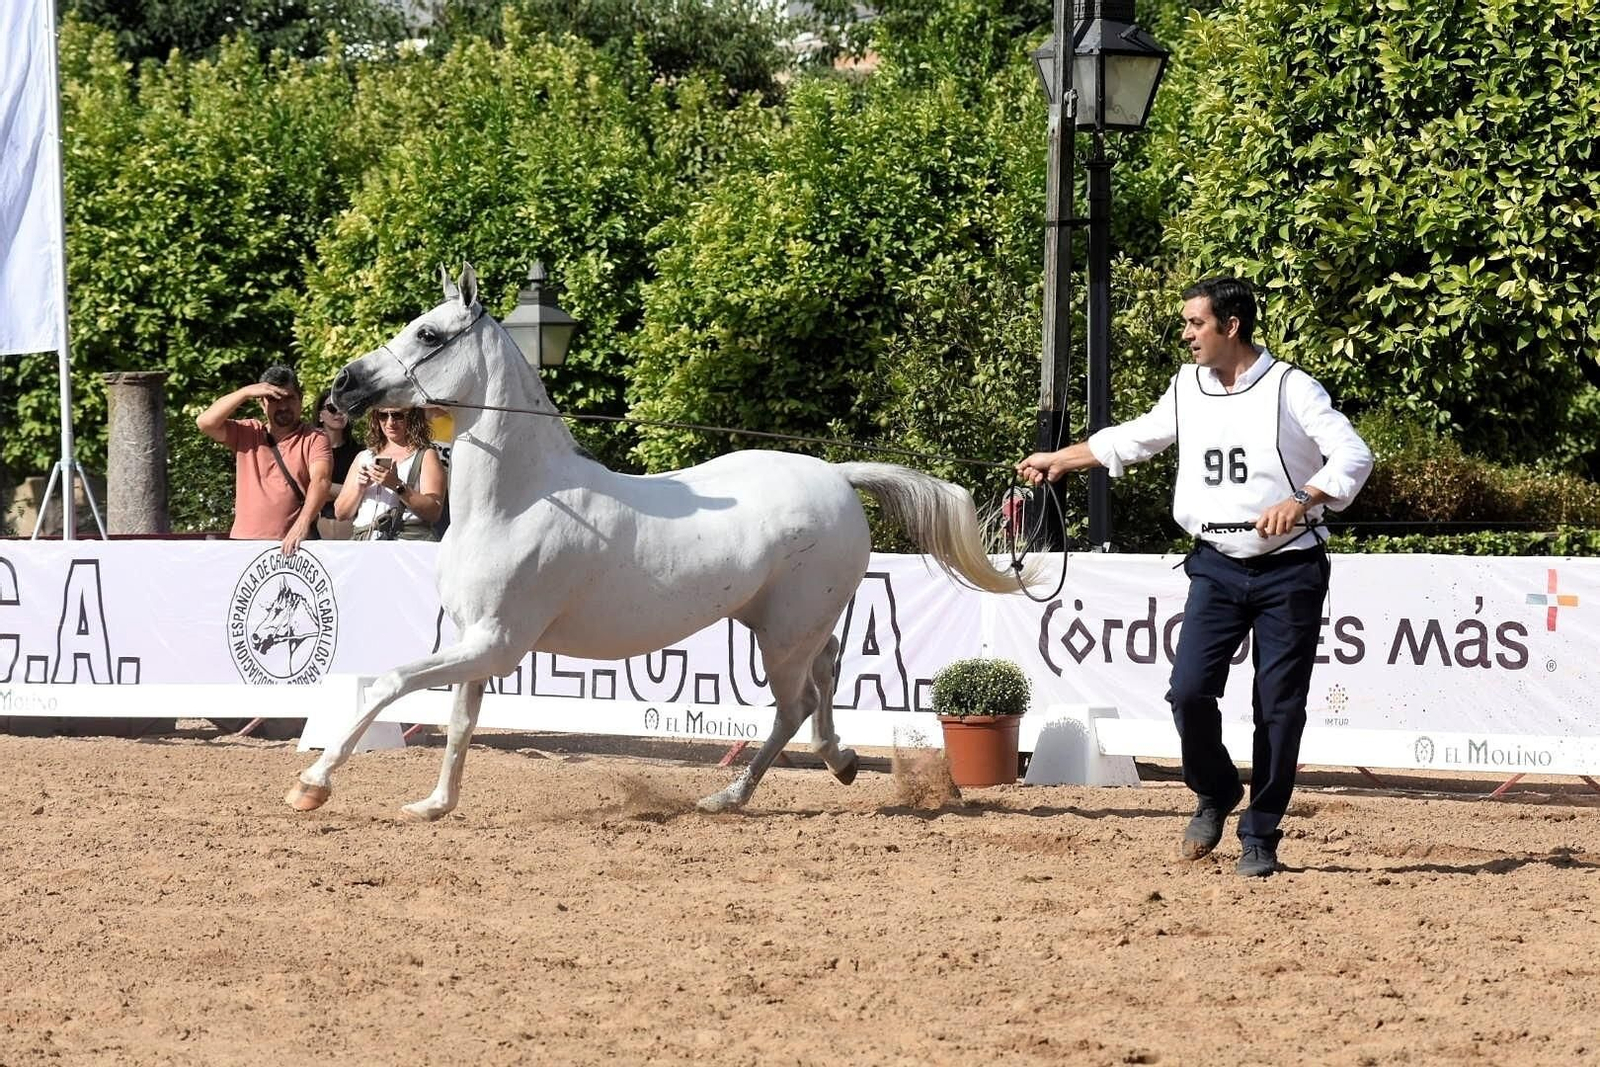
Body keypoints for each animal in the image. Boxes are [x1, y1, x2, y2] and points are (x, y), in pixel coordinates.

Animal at [286, 264, 1037, 820]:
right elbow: (460, 722)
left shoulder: (495, 641)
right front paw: (434, 803)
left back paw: (732, 794)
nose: (343, 387)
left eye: (429, 334)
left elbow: (387, 683)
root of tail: (836, 474)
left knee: (795, 703)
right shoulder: (479, 641)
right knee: (823, 677)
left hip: (783, 632)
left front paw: (312, 785)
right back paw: (838, 761)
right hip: (783, 623)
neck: (517, 501)